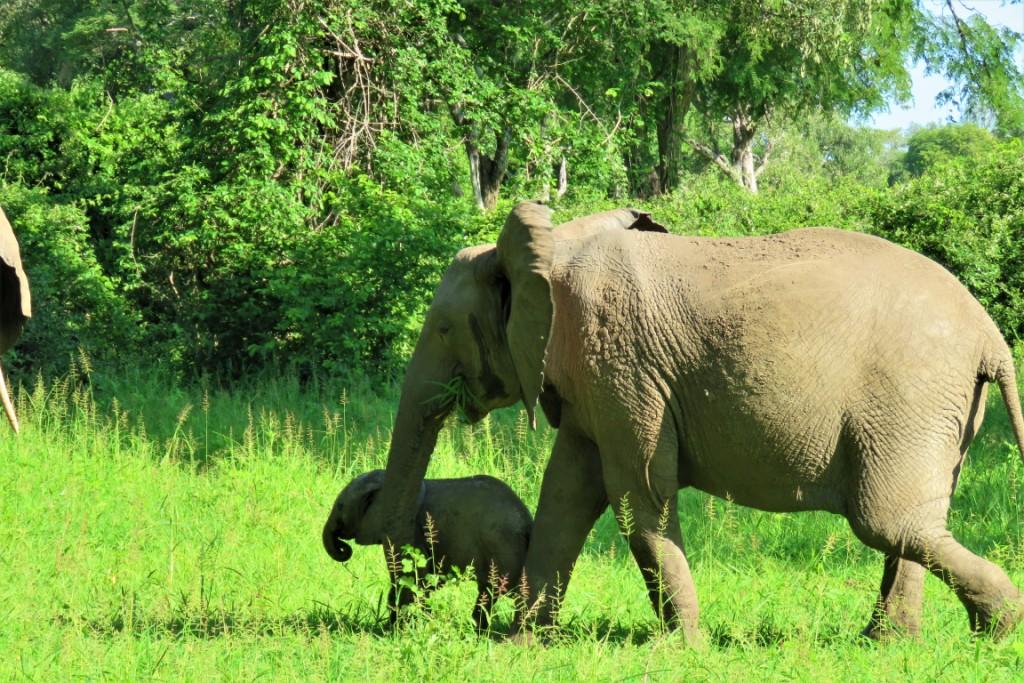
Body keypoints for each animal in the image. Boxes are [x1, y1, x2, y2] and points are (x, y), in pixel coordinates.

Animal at [321, 473, 532, 626]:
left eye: (340, 506)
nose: (344, 549)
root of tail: (527, 520)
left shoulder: (407, 532)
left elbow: (409, 579)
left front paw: (398, 630)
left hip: (502, 548)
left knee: (492, 591)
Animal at [354, 202, 1024, 643]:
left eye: (444, 329)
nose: (400, 621)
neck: (546, 249)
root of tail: (991, 336)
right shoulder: (598, 384)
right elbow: (567, 495)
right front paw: (522, 645)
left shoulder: (621, 365)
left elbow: (637, 498)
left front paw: (685, 648)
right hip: (937, 412)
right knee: (913, 522)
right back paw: (889, 644)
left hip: (911, 398)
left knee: (885, 520)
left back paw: (997, 629)